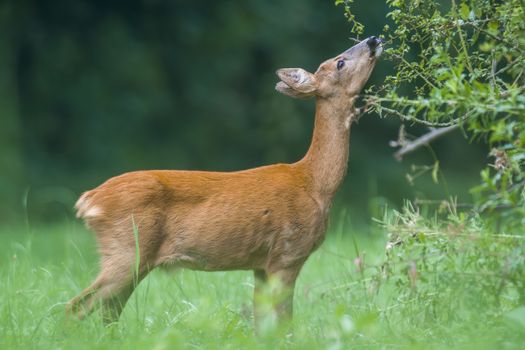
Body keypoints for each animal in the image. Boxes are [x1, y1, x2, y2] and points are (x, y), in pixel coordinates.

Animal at [67, 37, 382, 330]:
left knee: (107, 313)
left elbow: (260, 324)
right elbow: (284, 322)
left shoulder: (261, 265)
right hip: (127, 249)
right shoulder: (287, 254)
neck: (315, 183)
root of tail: (89, 200)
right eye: (340, 62)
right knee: (76, 306)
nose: (373, 40)